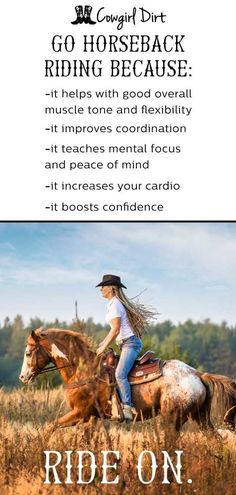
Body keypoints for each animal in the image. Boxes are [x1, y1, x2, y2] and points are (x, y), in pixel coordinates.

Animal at [18, 332, 236, 432]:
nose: (23, 377)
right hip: (200, 418)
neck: (84, 369)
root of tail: (197, 374)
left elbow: (50, 427)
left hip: (172, 419)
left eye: (28, 353)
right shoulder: (92, 417)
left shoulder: (80, 413)